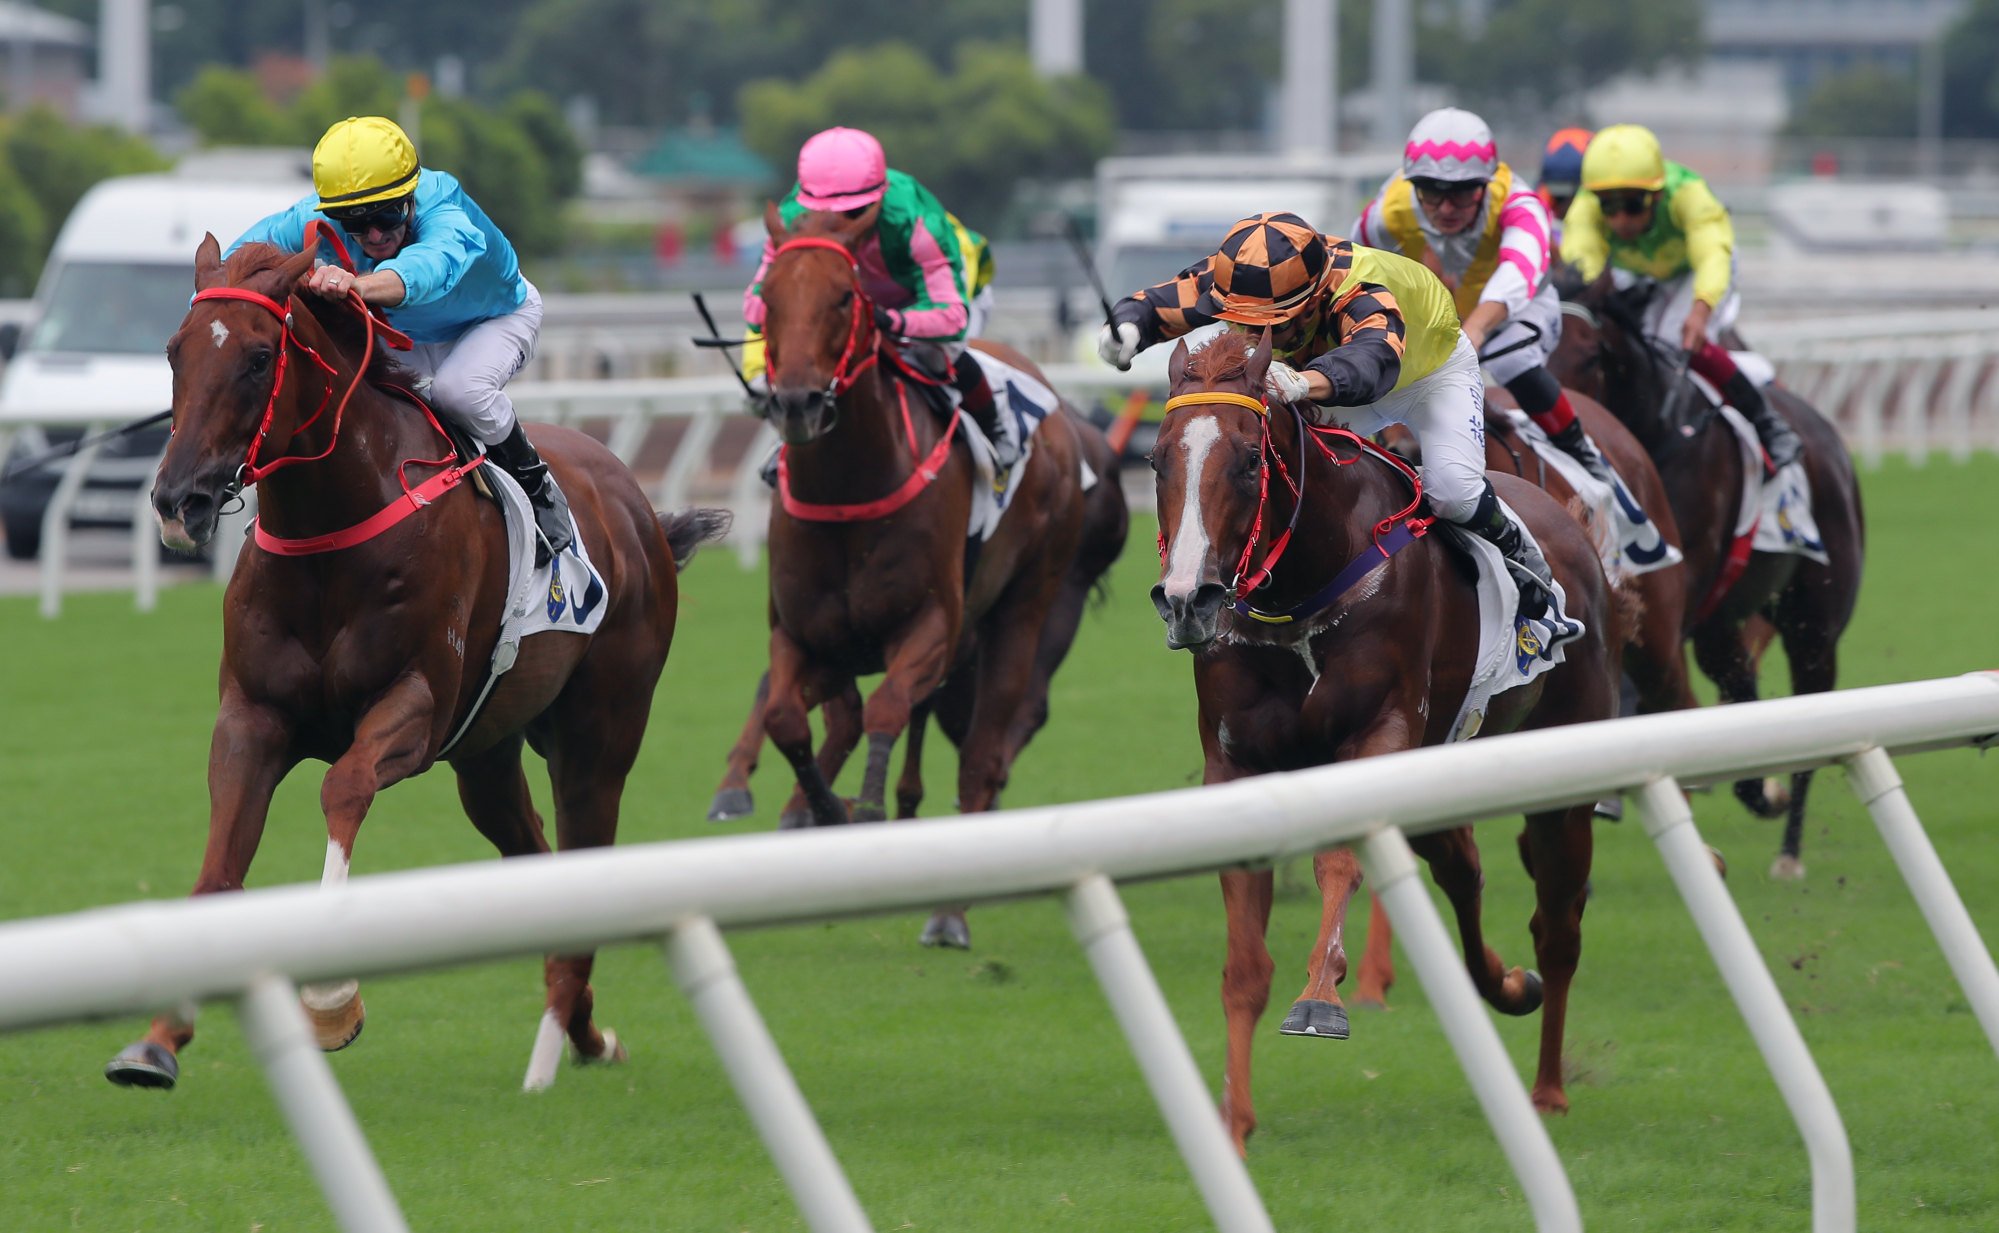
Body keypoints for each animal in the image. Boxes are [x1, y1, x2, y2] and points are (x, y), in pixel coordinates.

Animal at [107, 237, 727, 1087]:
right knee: (534, 853)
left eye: (260, 357)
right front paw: (159, 1037)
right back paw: (585, 1032)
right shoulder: (252, 717)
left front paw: (331, 998)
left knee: (584, 843)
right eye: (176, 350)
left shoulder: (415, 707)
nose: (180, 498)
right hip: (487, 753)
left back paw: (553, 1051)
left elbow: (343, 787)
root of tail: (641, 511)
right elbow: (220, 864)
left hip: (600, 738)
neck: (331, 533)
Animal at [747, 206, 1111, 947]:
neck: (849, 488)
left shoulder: (932, 627)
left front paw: (863, 808)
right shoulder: (801, 634)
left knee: (984, 752)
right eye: (767, 298)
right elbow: (786, 717)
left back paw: (950, 912)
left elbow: (887, 706)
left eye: (843, 296)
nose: (797, 403)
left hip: (1025, 607)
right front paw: (821, 809)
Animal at [1159, 331, 1623, 1151]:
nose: (1188, 600)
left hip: (1564, 779)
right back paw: (1506, 984)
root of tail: (1568, 522)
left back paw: (1547, 1087)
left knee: (1558, 928)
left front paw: (1322, 996)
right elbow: (1244, 966)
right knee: (1464, 867)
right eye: (1156, 460)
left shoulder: (1379, 735)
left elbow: (1340, 864)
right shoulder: (1237, 766)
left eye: (1246, 460)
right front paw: (1233, 1121)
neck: (1298, 595)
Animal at [1551, 275, 1863, 875]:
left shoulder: (1674, 585)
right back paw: (1755, 786)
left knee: (1812, 714)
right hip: (1724, 627)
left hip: (1814, 626)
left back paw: (1788, 849)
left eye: (1592, 354)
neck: (1661, 430)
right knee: (1740, 690)